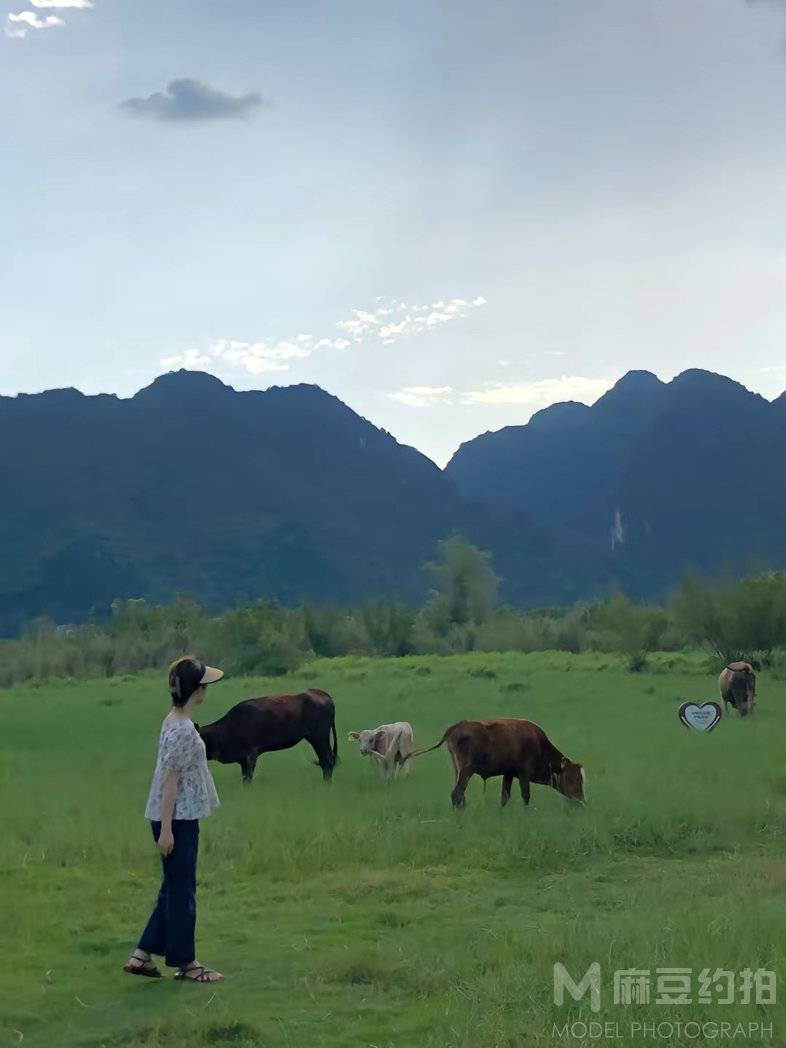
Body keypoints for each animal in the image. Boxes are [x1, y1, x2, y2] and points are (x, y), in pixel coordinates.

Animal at [197, 691, 339, 783]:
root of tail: (322, 694)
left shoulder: (251, 753)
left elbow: (248, 777)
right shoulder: (243, 759)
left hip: (319, 738)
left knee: (327, 761)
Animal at [412, 721, 586, 809]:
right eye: (575, 778)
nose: (581, 801)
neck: (538, 744)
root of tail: (455, 727)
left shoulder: (508, 774)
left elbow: (505, 796)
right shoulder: (523, 774)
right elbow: (525, 795)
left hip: (458, 770)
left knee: (460, 794)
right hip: (466, 771)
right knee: (456, 794)